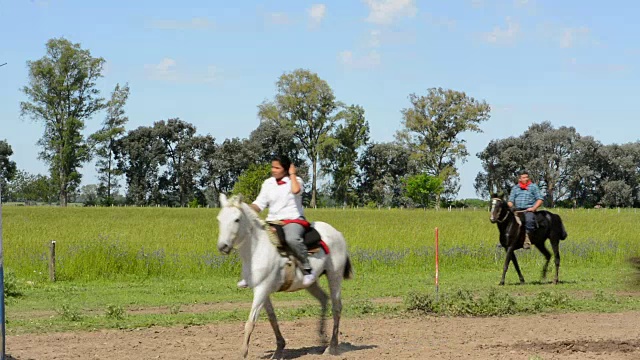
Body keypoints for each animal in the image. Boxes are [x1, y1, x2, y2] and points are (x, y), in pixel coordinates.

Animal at [218, 195, 352, 358]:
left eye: (236, 219)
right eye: (219, 219)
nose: (223, 246)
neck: (257, 249)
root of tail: (337, 233)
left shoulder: (262, 289)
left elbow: (250, 322)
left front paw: (243, 353)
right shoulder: (262, 290)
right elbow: (272, 318)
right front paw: (279, 349)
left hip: (335, 275)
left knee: (336, 307)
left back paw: (332, 347)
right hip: (311, 283)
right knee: (324, 299)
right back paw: (321, 337)